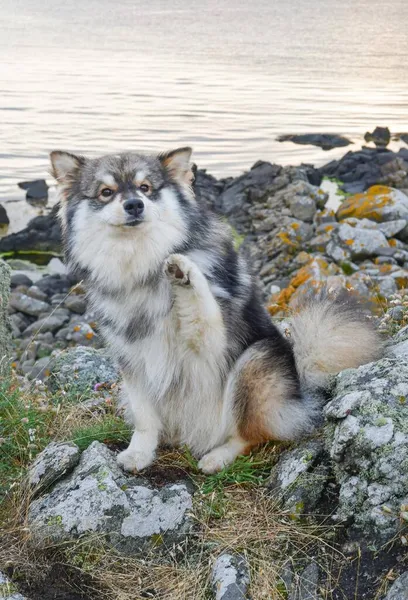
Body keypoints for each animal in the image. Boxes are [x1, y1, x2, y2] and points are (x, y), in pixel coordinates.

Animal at [51, 146, 382, 474]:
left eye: (145, 188)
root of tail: (301, 392)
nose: (134, 204)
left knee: (250, 435)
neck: (141, 266)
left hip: (254, 363)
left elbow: (204, 307)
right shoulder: (131, 360)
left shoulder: (209, 344)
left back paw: (218, 456)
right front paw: (139, 452)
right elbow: (145, 417)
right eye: (106, 192)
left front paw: (185, 271)